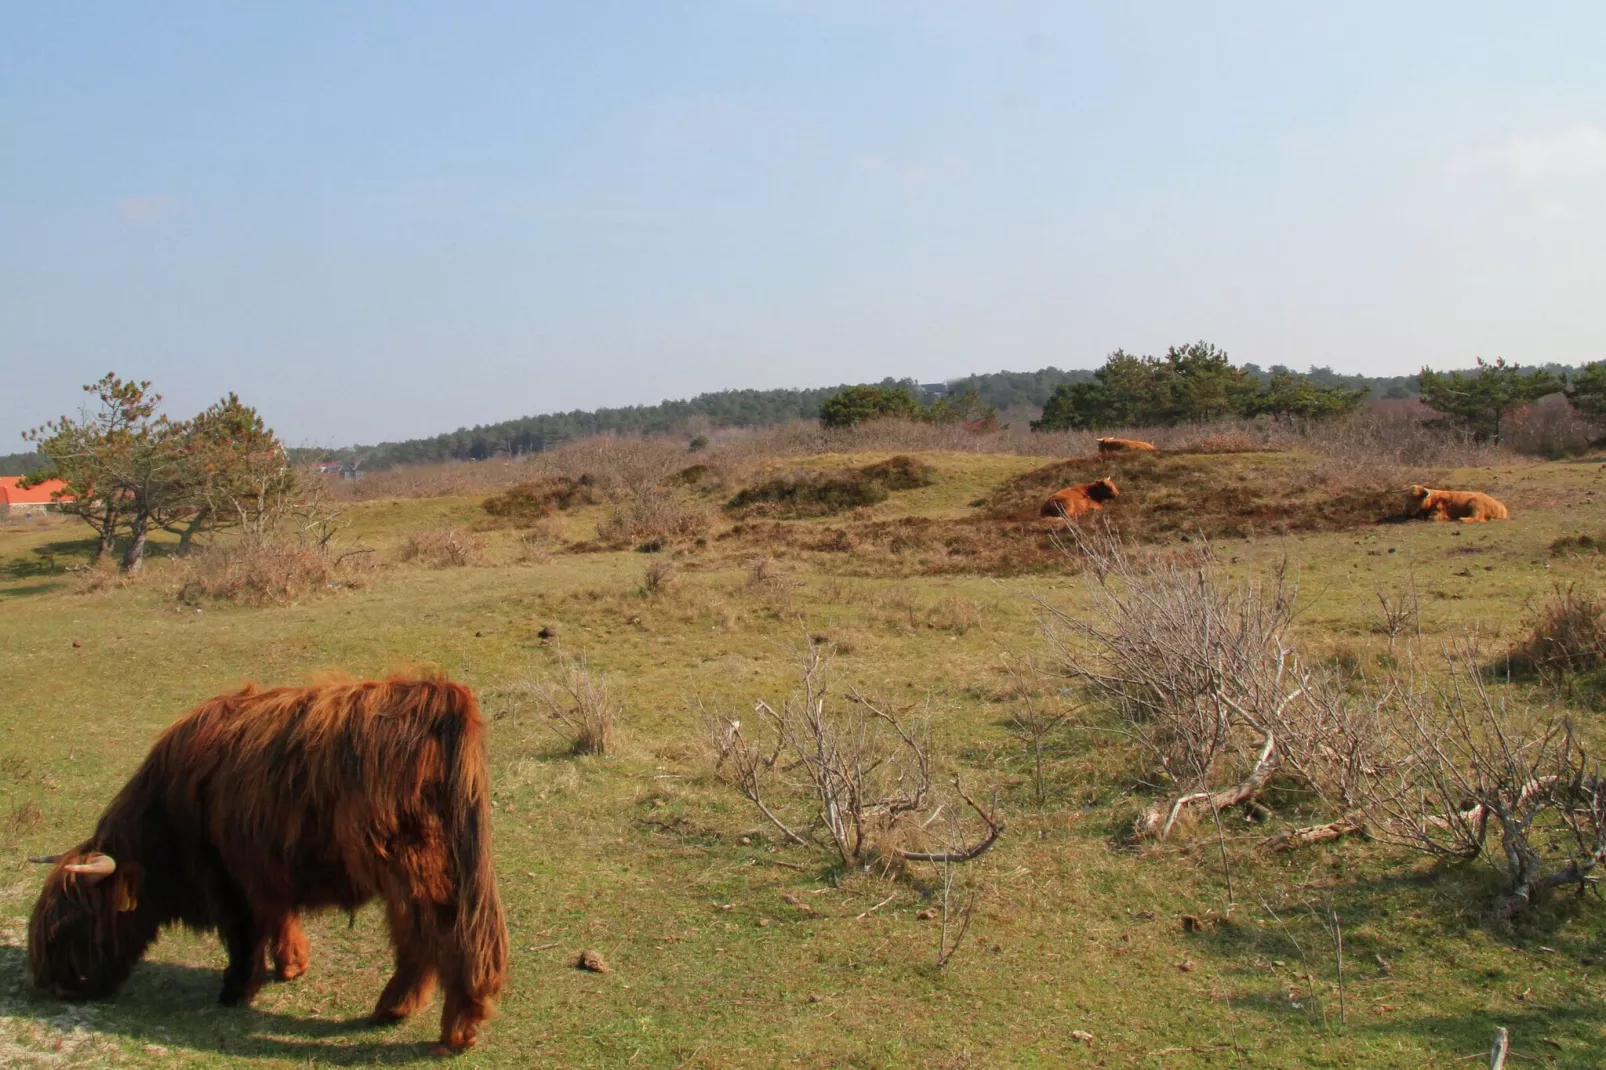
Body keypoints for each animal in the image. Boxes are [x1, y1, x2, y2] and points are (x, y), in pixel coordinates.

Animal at [29, 671, 507, 1053]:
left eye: (74, 925)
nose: (53, 985)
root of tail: (440, 695)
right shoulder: (264, 870)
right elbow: (279, 918)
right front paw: (292, 964)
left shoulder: (227, 879)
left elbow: (243, 938)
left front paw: (236, 990)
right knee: (417, 938)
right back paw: (397, 1008)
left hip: (418, 865)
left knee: (447, 935)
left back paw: (454, 1029)